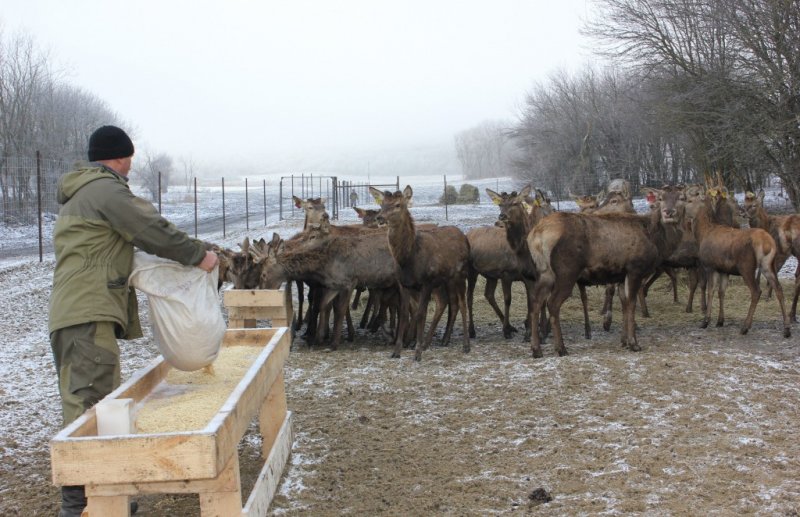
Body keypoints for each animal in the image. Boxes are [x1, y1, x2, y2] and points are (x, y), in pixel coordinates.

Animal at [372, 184, 472, 358]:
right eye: (382, 204)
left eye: (398, 205)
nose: (379, 218)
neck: (407, 259)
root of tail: (464, 237)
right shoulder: (404, 284)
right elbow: (405, 314)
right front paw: (397, 351)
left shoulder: (427, 282)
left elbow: (420, 314)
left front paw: (417, 352)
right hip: (445, 280)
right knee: (449, 302)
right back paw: (435, 342)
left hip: (460, 274)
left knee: (461, 303)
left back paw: (466, 345)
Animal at [524, 185, 688, 358]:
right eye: (661, 198)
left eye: (682, 198)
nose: (668, 212)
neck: (658, 241)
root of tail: (536, 235)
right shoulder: (635, 268)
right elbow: (631, 303)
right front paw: (634, 343)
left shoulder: (622, 275)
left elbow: (624, 303)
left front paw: (624, 341)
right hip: (566, 271)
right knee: (552, 303)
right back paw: (561, 348)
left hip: (544, 272)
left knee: (535, 302)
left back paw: (536, 349)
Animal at [684, 184, 792, 334]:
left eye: (689, 200)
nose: (680, 212)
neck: (703, 234)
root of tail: (767, 242)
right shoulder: (724, 269)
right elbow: (721, 292)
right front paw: (720, 321)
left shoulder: (710, 266)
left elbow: (710, 291)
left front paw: (705, 321)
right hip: (768, 264)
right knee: (778, 288)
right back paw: (787, 328)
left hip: (746, 266)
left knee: (756, 291)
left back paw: (745, 326)